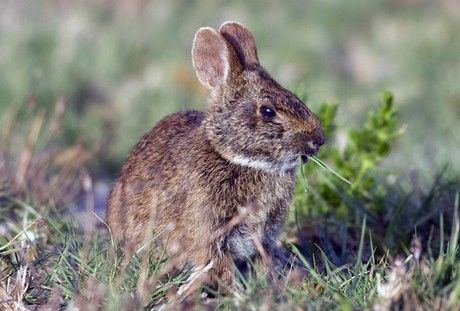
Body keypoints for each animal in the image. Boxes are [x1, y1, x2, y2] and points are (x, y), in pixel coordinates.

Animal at [106, 21, 326, 294]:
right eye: (267, 111)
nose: (319, 139)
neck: (236, 158)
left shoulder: (264, 235)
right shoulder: (210, 233)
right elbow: (219, 266)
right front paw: (236, 294)